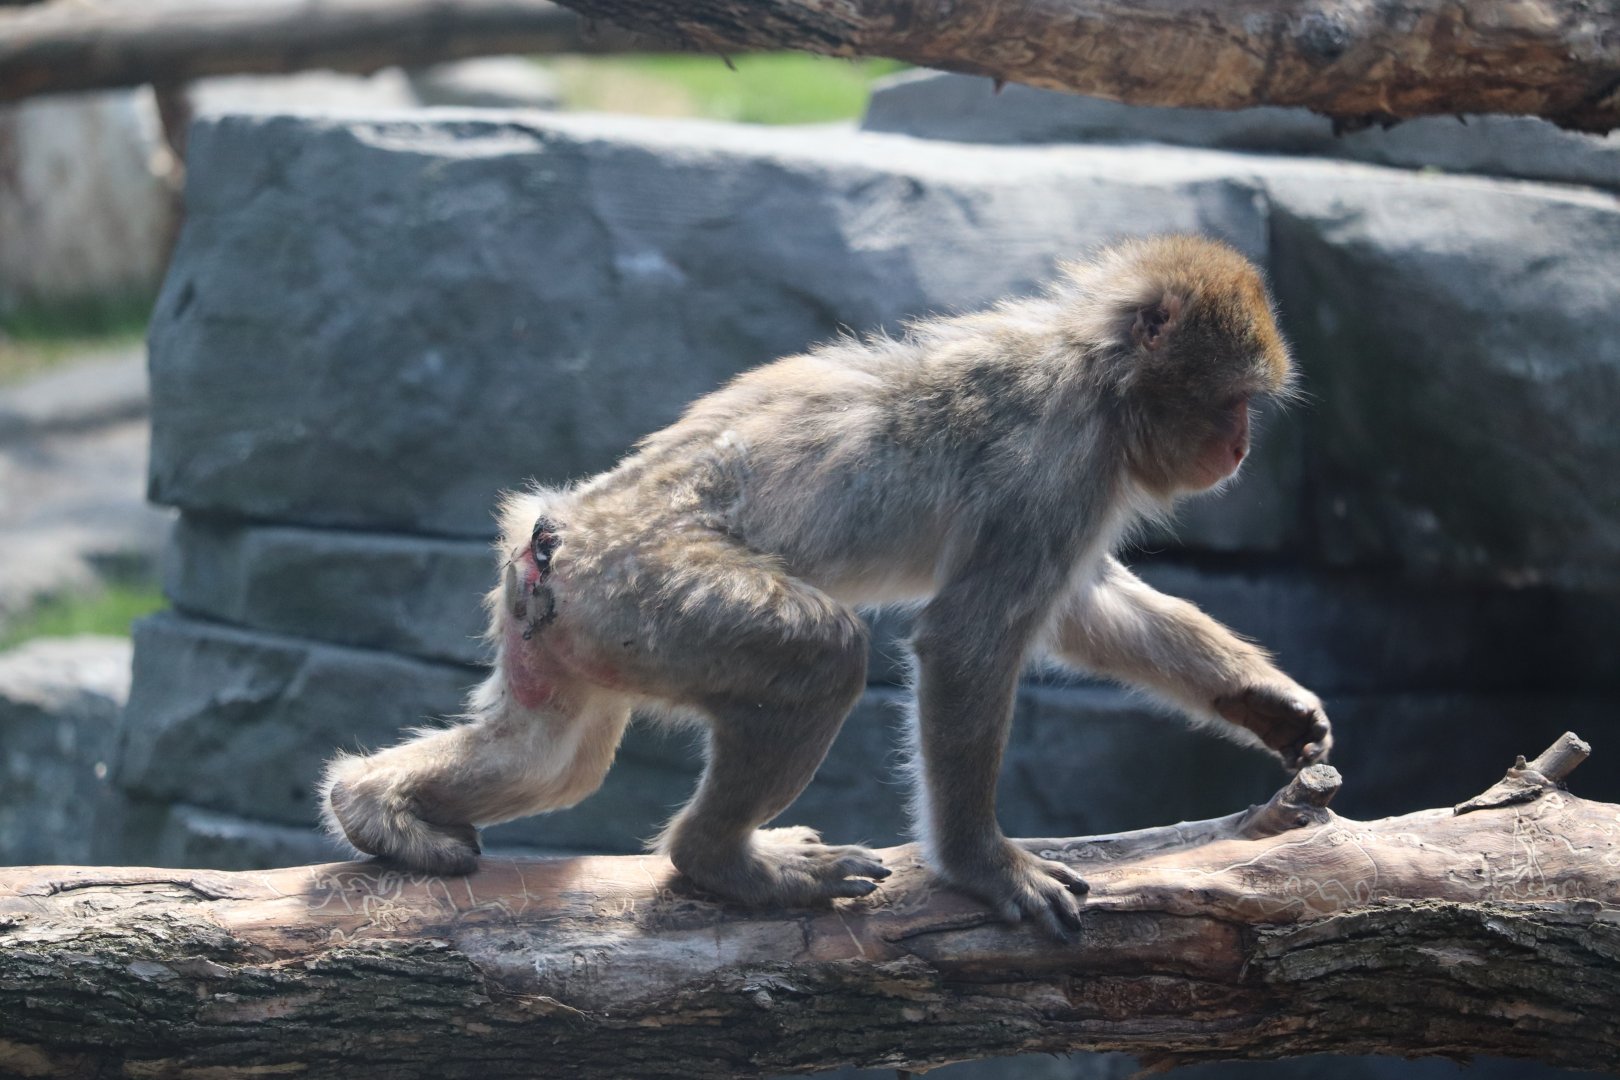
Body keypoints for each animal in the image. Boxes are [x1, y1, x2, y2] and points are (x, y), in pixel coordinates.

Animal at [322, 234, 1332, 938]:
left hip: (573, 630)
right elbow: (970, 640)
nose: (1241, 446)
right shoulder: (1060, 461)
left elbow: (1081, 609)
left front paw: (1262, 698)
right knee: (818, 655)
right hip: (645, 594)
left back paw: (376, 808)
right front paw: (982, 866)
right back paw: (720, 861)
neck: (1098, 369)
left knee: (551, 758)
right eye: (1234, 400)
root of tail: (554, 533)